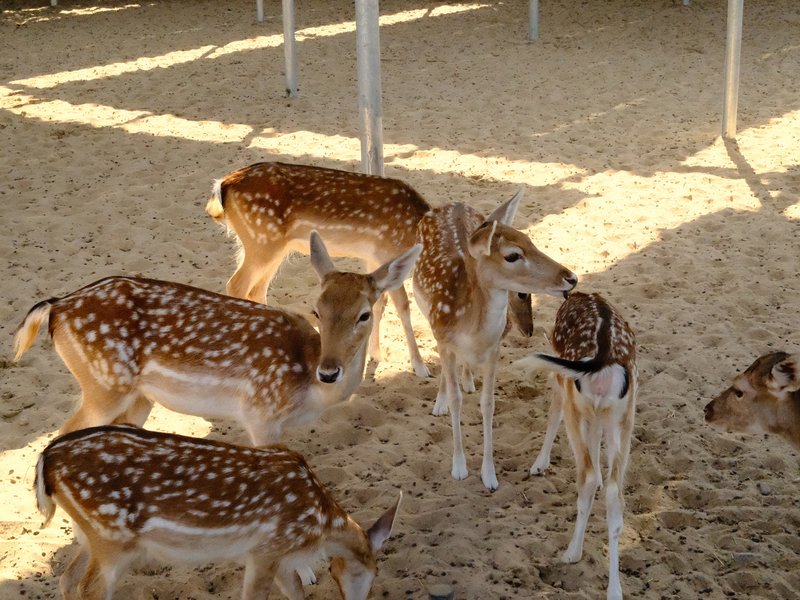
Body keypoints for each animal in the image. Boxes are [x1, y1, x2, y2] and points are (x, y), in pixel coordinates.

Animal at [13, 232, 420, 446]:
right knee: (59, 436)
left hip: (137, 396)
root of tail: (56, 307)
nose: (329, 371)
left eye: (364, 314)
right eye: (316, 310)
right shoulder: (260, 415)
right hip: (103, 384)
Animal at [35, 424, 400, 600]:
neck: (321, 524)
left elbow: (296, 591)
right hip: (112, 539)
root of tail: (46, 460)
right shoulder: (268, 548)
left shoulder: (275, 556)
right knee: (88, 589)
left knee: (67, 580)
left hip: (93, 535)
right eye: (371, 573)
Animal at [205, 161, 534, 380]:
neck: (415, 230)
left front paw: (374, 354)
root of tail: (222, 186)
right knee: (236, 284)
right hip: (262, 242)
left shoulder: (375, 257)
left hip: (272, 247)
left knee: (256, 288)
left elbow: (379, 304)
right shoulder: (387, 251)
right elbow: (402, 305)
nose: (528, 331)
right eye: (517, 289)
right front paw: (420, 367)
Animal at [411, 190, 577, 491]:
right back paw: (440, 402)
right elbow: (456, 399)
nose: (571, 277)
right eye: (512, 255)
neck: (472, 328)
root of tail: (454, 204)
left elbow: (488, 404)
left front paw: (489, 475)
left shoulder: (494, 349)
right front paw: (459, 468)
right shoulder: (444, 339)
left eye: (530, 240)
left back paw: (467, 380)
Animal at [516, 291, 637, 600]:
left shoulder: (560, 379)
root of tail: (604, 359)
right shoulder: (598, 416)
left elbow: (552, 414)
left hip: (576, 400)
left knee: (588, 475)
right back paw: (614, 590)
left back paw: (572, 552)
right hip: (622, 416)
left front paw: (539, 464)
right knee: (615, 490)